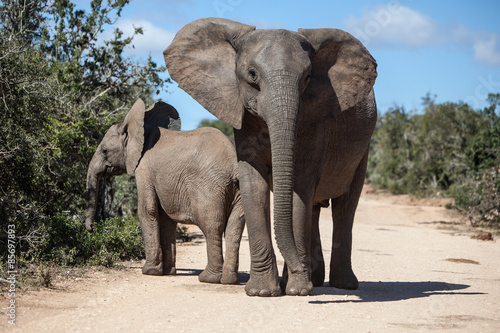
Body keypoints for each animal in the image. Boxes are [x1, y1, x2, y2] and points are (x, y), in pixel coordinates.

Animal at [85, 98, 245, 282]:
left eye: (104, 151)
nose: (93, 228)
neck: (142, 129)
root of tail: (233, 161)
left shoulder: (144, 169)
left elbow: (147, 211)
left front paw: (149, 271)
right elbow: (166, 218)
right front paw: (168, 272)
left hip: (210, 186)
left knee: (212, 226)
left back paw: (208, 278)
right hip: (237, 189)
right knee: (235, 226)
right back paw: (229, 281)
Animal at [166, 18, 376, 296]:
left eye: (308, 77)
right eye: (252, 74)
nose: (298, 269)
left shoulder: (316, 115)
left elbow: (300, 182)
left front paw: (297, 290)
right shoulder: (241, 113)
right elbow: (253, 184)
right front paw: (264, 291)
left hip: (364, 147)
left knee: (345, 206)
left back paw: (343, 284)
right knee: (315, 207)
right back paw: (315, 279)